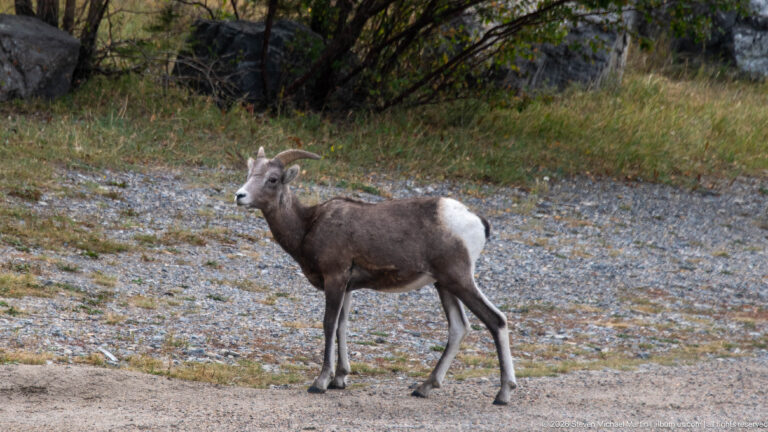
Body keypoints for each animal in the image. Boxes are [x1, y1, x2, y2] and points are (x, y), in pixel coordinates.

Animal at [235, 147, 517, 405]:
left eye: (272, 179)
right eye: (250, 173)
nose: (240, 196)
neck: (307, 225)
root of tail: (477, 221)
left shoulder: (335, 278)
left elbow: (329, 324)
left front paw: (321, 382)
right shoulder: (347, 287)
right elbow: (342, 326)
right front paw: (340, 379)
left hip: (459, 279)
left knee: (496, 320)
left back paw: (503, 394)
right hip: (444, 284)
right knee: (459, 327)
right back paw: (424, 388)